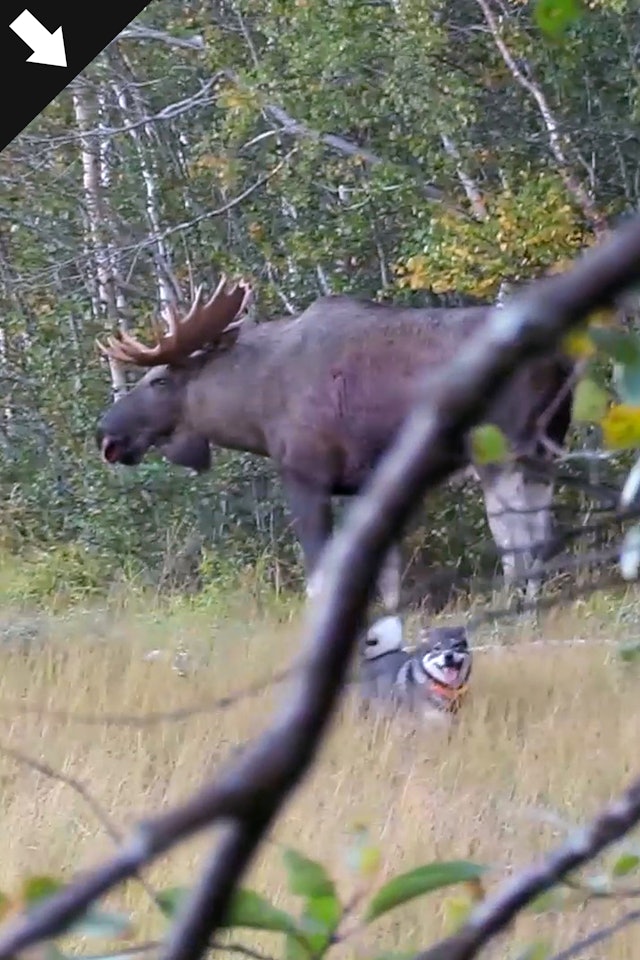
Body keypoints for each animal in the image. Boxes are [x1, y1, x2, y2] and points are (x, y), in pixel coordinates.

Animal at [96, 276, 576, 624]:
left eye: (158, 380)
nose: (108, 434)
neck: (255, 408)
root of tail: (562, 357)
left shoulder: (305, 474)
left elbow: (320, 576)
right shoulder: (366, 482)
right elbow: (386, 579)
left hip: (500, 452)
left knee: (519, 542)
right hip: (545, 451)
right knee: (542, 532)